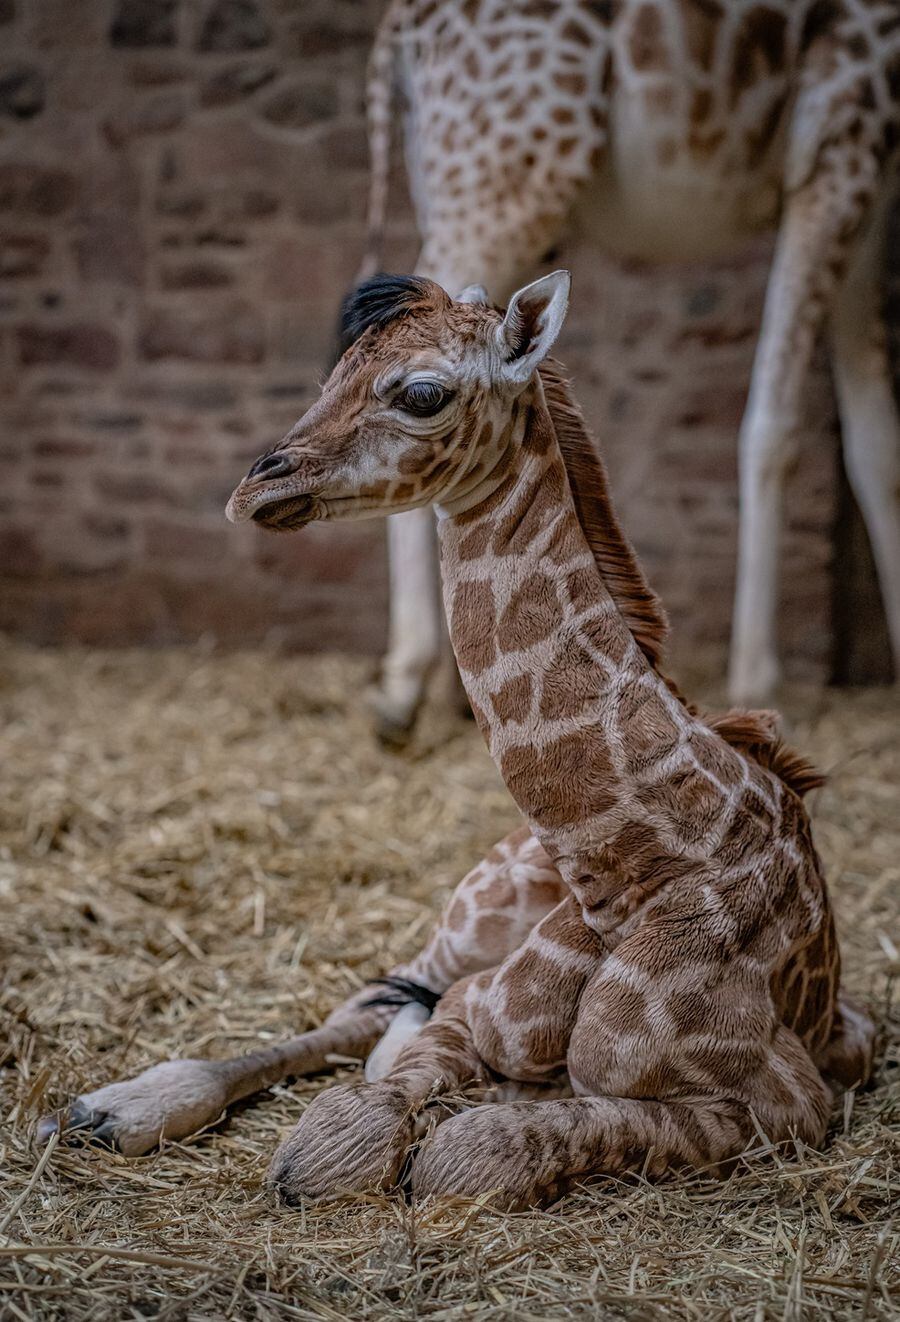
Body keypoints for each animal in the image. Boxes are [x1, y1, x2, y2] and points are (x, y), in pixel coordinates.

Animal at [38, 271, 872, 1210]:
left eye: (422, 393)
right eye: (332, 375)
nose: (251, 489)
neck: (641, 865)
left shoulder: (791, 1100)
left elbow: (474, 1148)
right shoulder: (471, 1009)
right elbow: (352, 1127)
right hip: (466, 921)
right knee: (365, 1003)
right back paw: (106, 1110)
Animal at [359, 0, 900, 740]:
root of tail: (398, 32)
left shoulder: (875, 183)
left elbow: (877, 447)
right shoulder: (843, 137)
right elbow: (775, 427)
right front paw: (759, 681)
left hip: (454, 173)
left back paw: (445, 691)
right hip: (508, 170)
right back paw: (405, 684)